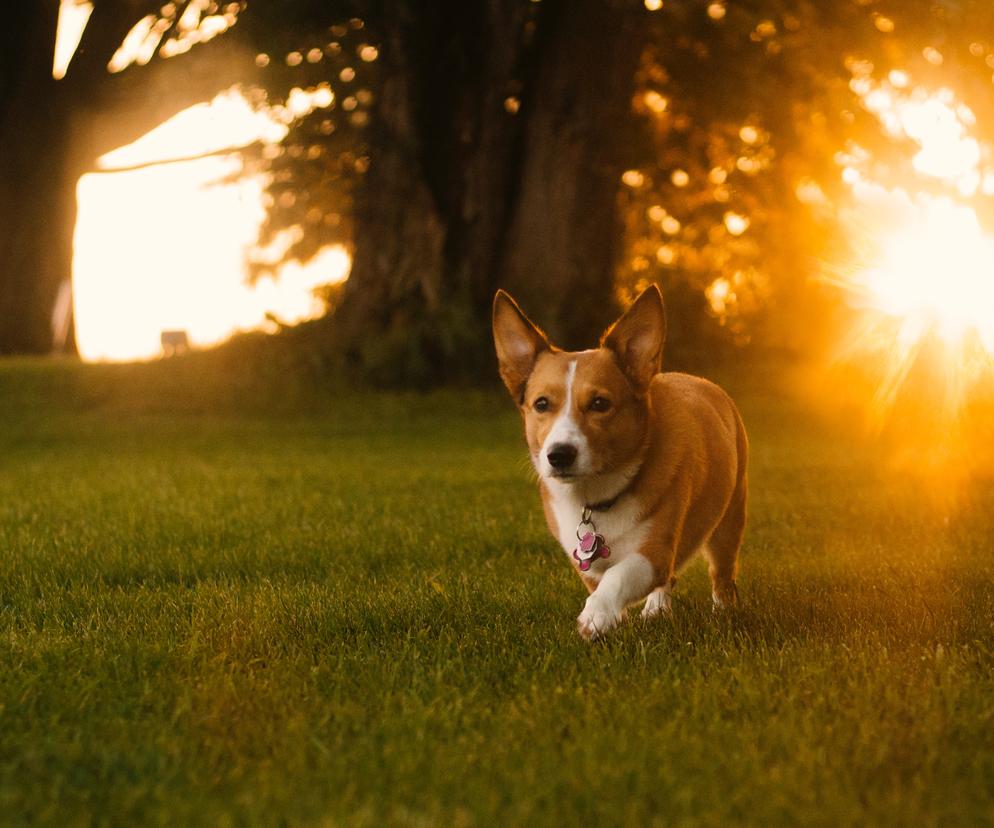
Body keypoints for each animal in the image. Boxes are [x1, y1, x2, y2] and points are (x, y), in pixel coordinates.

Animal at [492, 284, 748, 640]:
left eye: (600, 403)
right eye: (541, 404)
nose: (559, 454)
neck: (597, 497)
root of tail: (698, 379)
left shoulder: (654, 551)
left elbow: (619, 576)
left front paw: (596, 615)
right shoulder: (585, 561)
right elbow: (603, 580)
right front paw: (614, 617)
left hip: (729, 520)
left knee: (722, 572)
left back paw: (723, 610)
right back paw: (656, 609)